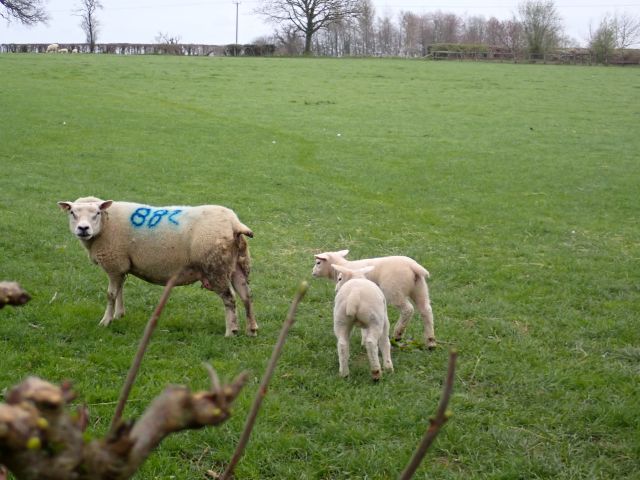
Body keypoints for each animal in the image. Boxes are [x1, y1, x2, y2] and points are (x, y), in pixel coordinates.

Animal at [57, 196, 257, 337]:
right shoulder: (121, 266)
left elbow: (111, 294)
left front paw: (105, 321)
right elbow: (120, 290)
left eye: (97, 213)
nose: (83, 229)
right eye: (72, 213)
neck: (106, 224)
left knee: (230, 299)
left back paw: (231, 331)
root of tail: (234, 223)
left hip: (215, 266)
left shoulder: (114, 263)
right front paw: (119, 315)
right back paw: (252, 330)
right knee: (246, 296)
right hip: (239, 264)